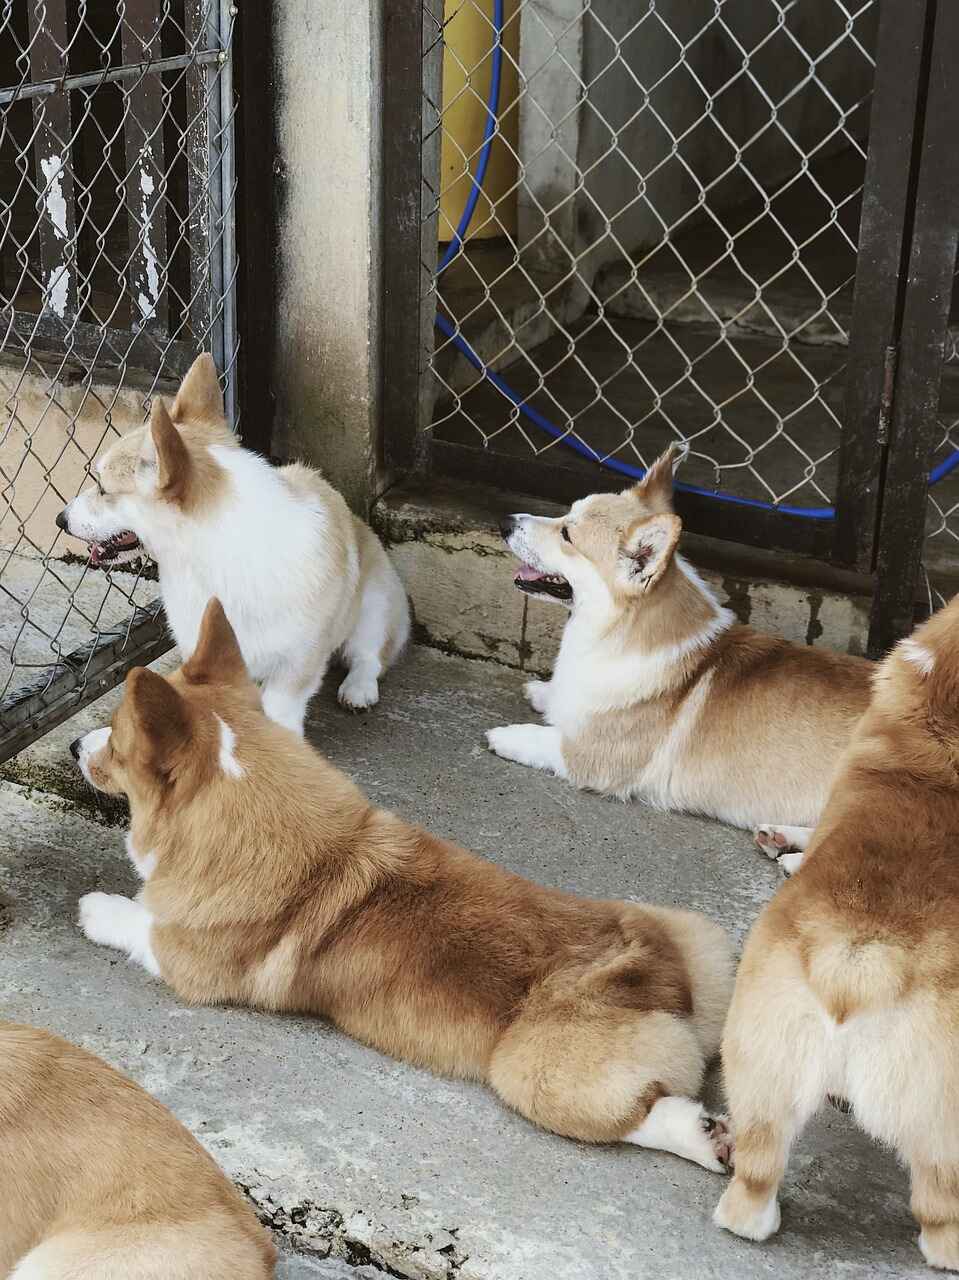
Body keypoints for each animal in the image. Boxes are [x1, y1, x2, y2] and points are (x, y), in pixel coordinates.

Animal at [55, 353, 407, 732]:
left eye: (102, 488)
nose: (60, 519)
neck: (216, 556)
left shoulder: (296, 668)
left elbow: (280, 710)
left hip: (375, 605)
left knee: (369, 655)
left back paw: (358, 689)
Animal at [72, 599, 732, 1177]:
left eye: (116, 738)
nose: (77, 743)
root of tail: (659, 972)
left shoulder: (189, 960)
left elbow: (139, 922)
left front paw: (98, 908)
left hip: (533, 1072)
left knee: (640, 1112)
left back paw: (703, 1139)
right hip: (698, 933)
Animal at [489, 450, 870, 860]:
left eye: (567, 535)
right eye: (566, 515)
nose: (504, 521)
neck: (615, 633)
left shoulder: (591, 757)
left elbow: (543, 738)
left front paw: (505, 735)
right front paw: (544, 692)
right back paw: (781, 837)